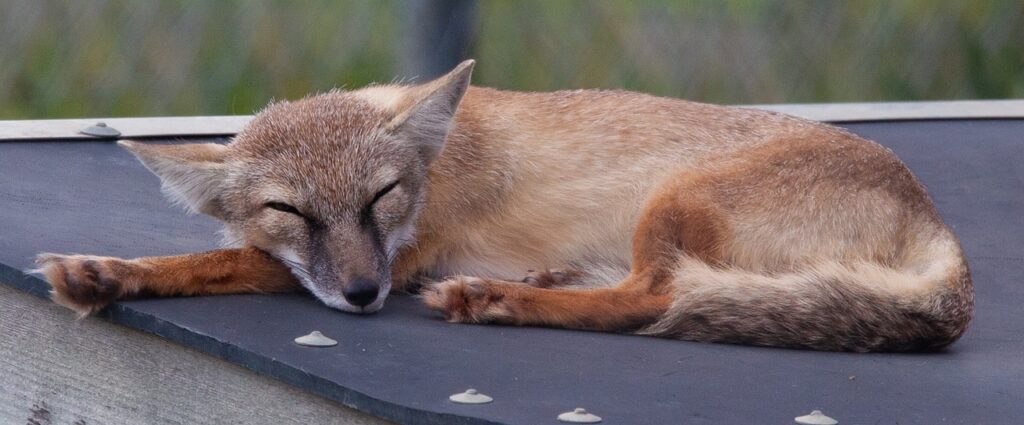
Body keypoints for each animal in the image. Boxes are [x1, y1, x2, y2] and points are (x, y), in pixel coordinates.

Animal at [33, 60, 973, 352]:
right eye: (291, 211)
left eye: (382, 197)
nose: (364, 296)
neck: (435, 159)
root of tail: (936, 218)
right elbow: (234, 250)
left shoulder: (408, 250)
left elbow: (215, 259)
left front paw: (107, 271)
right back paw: (543, 280)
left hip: (671, 203)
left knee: (653, 299)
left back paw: (497, 300)